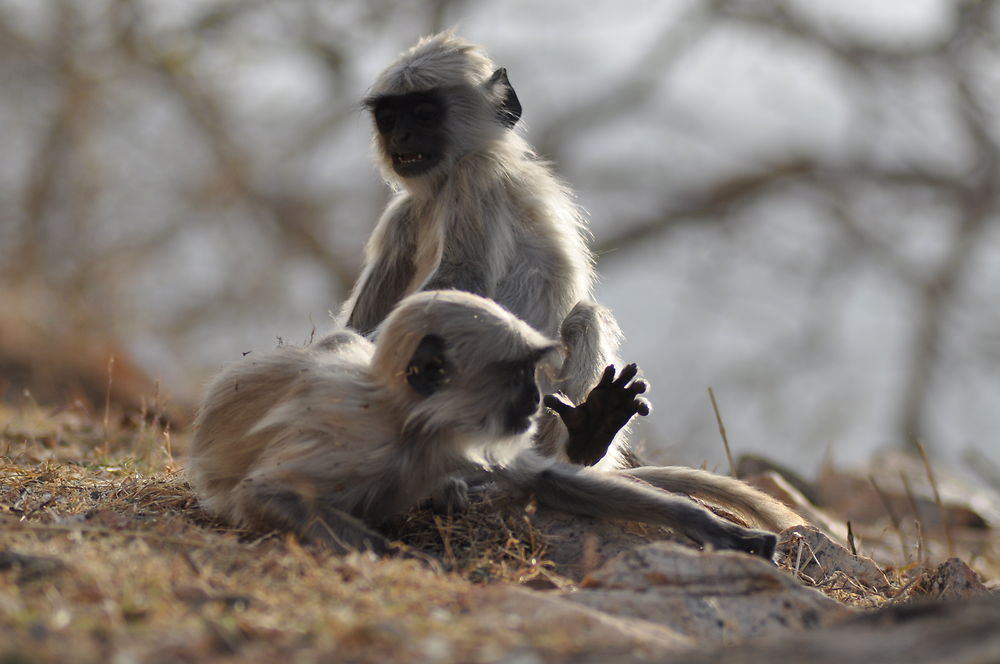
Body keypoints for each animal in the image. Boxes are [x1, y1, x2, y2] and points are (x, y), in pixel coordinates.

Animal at [188, 294, 780, 556]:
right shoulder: (355, 438)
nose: (536, 398)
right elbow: (261, 493)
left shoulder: (459, 436)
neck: (411, 427)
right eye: (518, 373)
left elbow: (543, 480)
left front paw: (710, 526)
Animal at [340, 31, 644, 466]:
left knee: (587, 316)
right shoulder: (405, 213)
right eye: (389, 118)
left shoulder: (475, 176)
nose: (401, 138)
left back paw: (587, 439)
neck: (444, 182)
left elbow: (462, 277)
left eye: (425, 114)